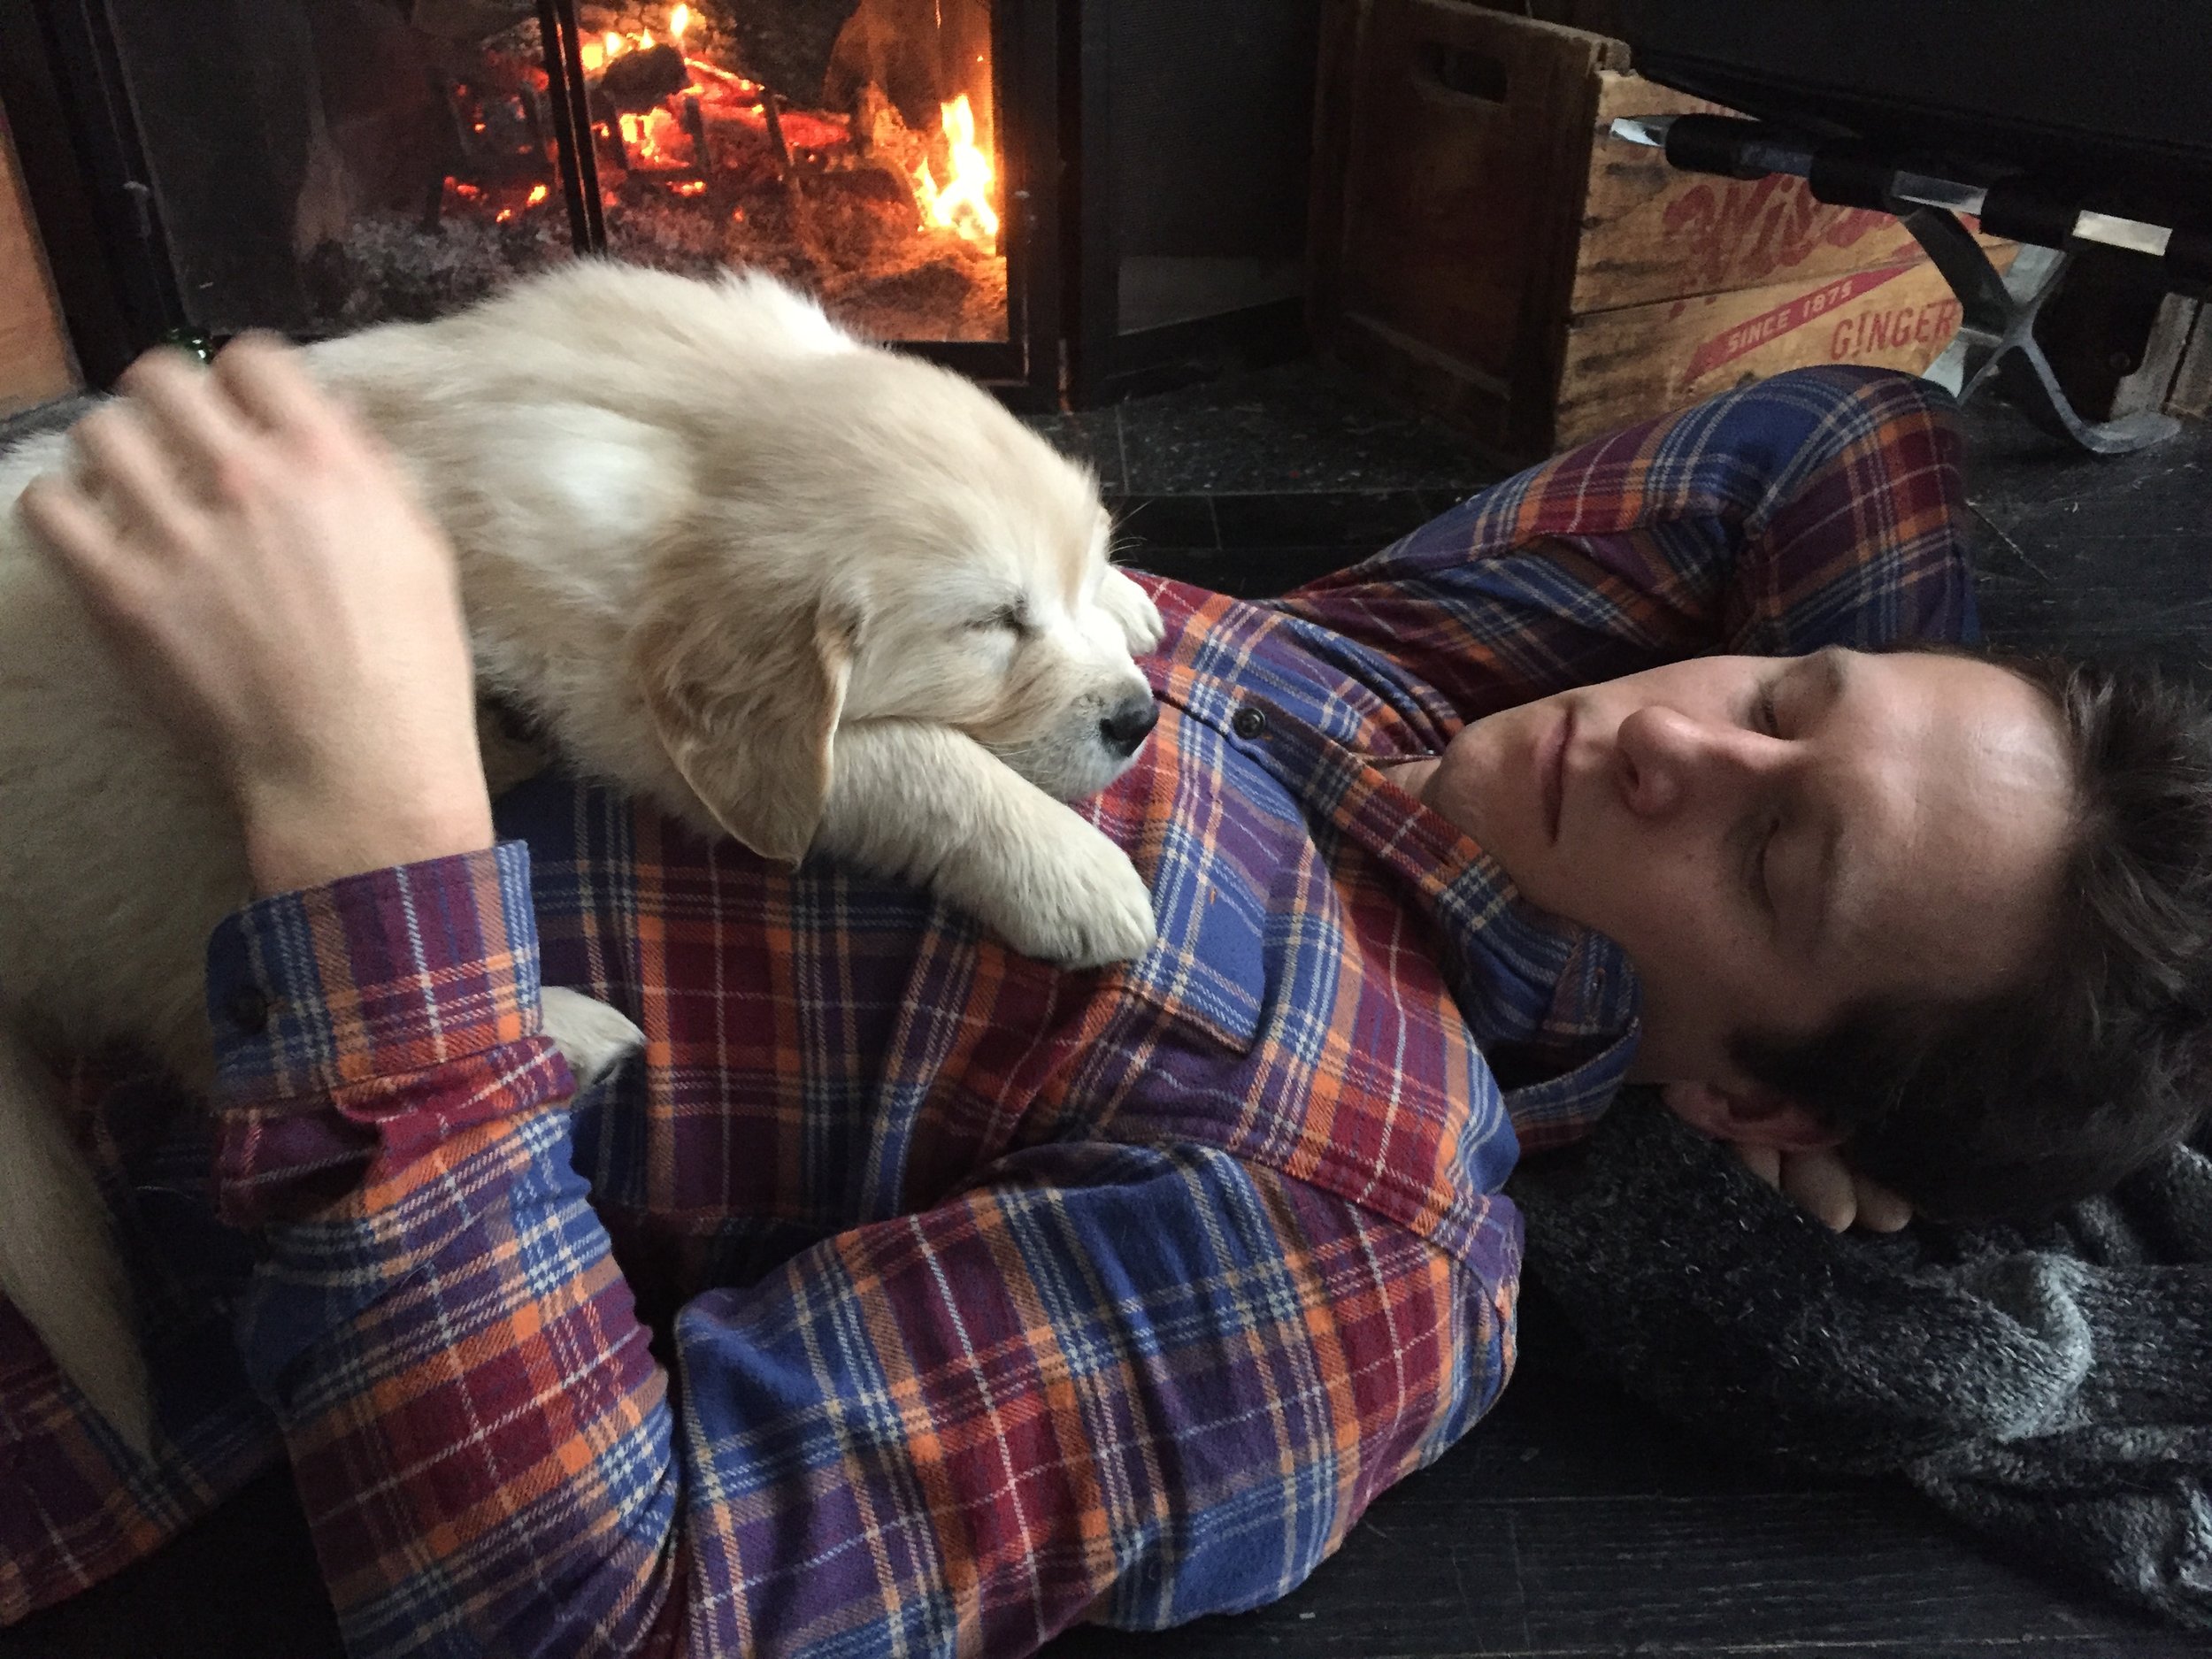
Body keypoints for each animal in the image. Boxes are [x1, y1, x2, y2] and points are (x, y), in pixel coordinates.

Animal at [0, 261, 1164, 1454]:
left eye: (1064, 583)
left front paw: (1126, 600)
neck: (694, 433)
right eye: (992, 625)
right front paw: (1073, 871)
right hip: (163, 823)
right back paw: (560, 1032)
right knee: (231, 1032)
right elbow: (916, 760)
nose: (1135, 721)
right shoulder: (635, 709)